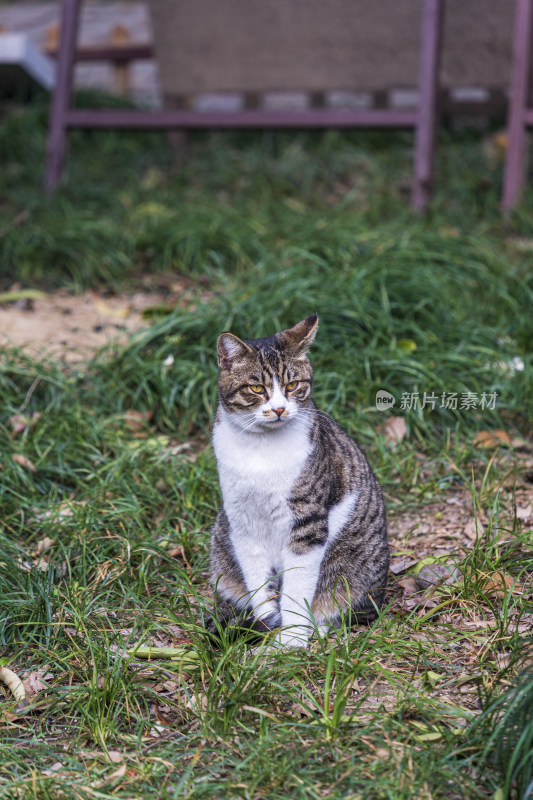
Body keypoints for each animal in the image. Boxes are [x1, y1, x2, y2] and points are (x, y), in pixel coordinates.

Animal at [210, 316, 388, 648]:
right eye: (257, 388)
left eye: (292, 385)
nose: (279, 409)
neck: (261, 450)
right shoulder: (242, 522)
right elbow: (259, 584)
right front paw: (268, 622)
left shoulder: (308, 523)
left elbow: (296, 587)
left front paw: (291, 640)